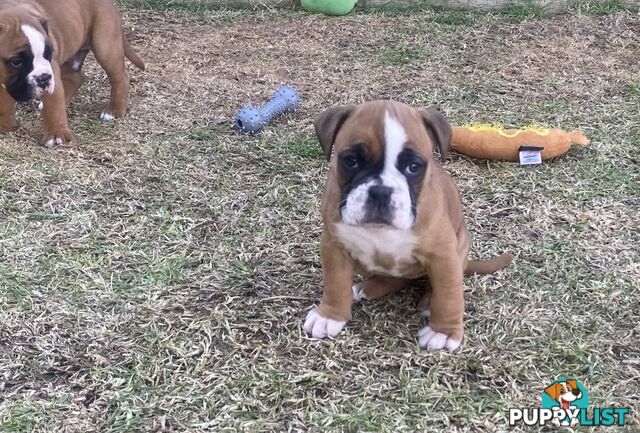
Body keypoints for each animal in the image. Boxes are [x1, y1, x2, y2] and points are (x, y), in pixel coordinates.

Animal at [0, 0, 145, 147]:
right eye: (16, 62)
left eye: (48, 54)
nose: (44, 78)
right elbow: (4, 104)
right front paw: (5, 125)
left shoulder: (53, 69)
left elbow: (54, 106)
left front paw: (56, 135)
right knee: (77, 77)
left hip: (105, 47)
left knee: (121, 77)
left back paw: (114, 110)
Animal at [306, 99, 516, 350]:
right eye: (351, 161)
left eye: (413, 167)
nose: (380, 192)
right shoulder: (334, 246)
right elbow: (335, 282)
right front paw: (329, 316)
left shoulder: (443, 256)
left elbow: (449, 293)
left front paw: (444, 331)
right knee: (394, 279)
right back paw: (365, 288)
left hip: (459, 249)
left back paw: (428, 302)